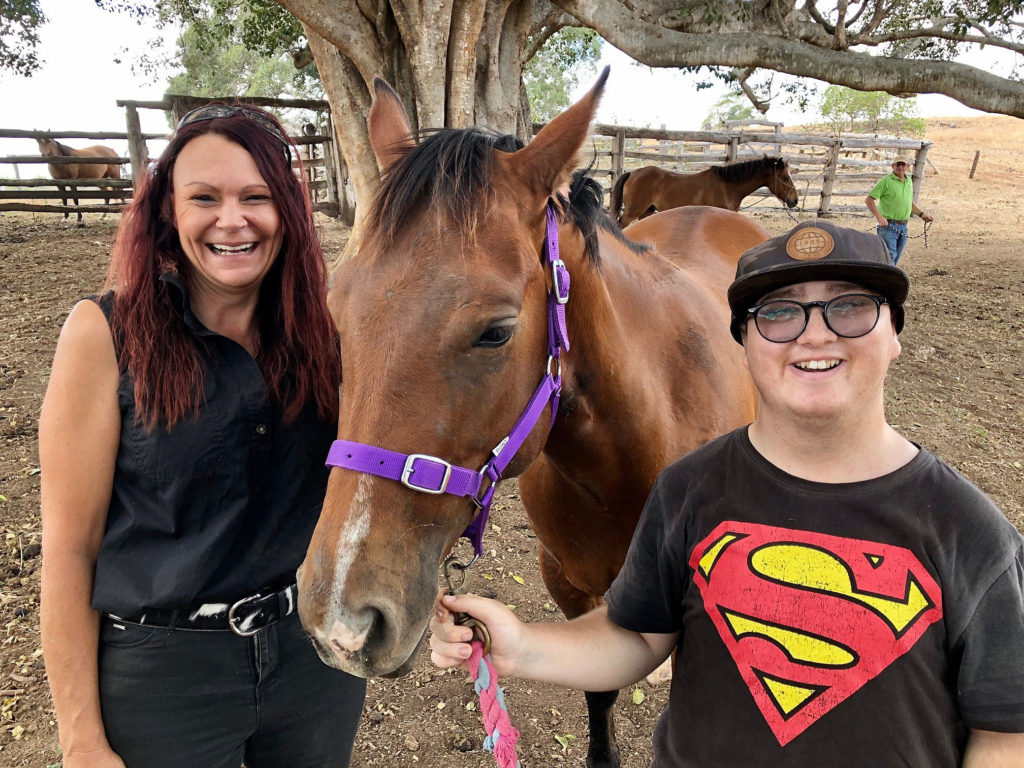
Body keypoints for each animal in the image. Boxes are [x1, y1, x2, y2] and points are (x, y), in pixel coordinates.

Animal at [606, 154, 798, 227]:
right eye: (785, 177)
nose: (794, 200)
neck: (728, 185)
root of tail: (632, 173)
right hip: (632, 211)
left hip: (647, 211)